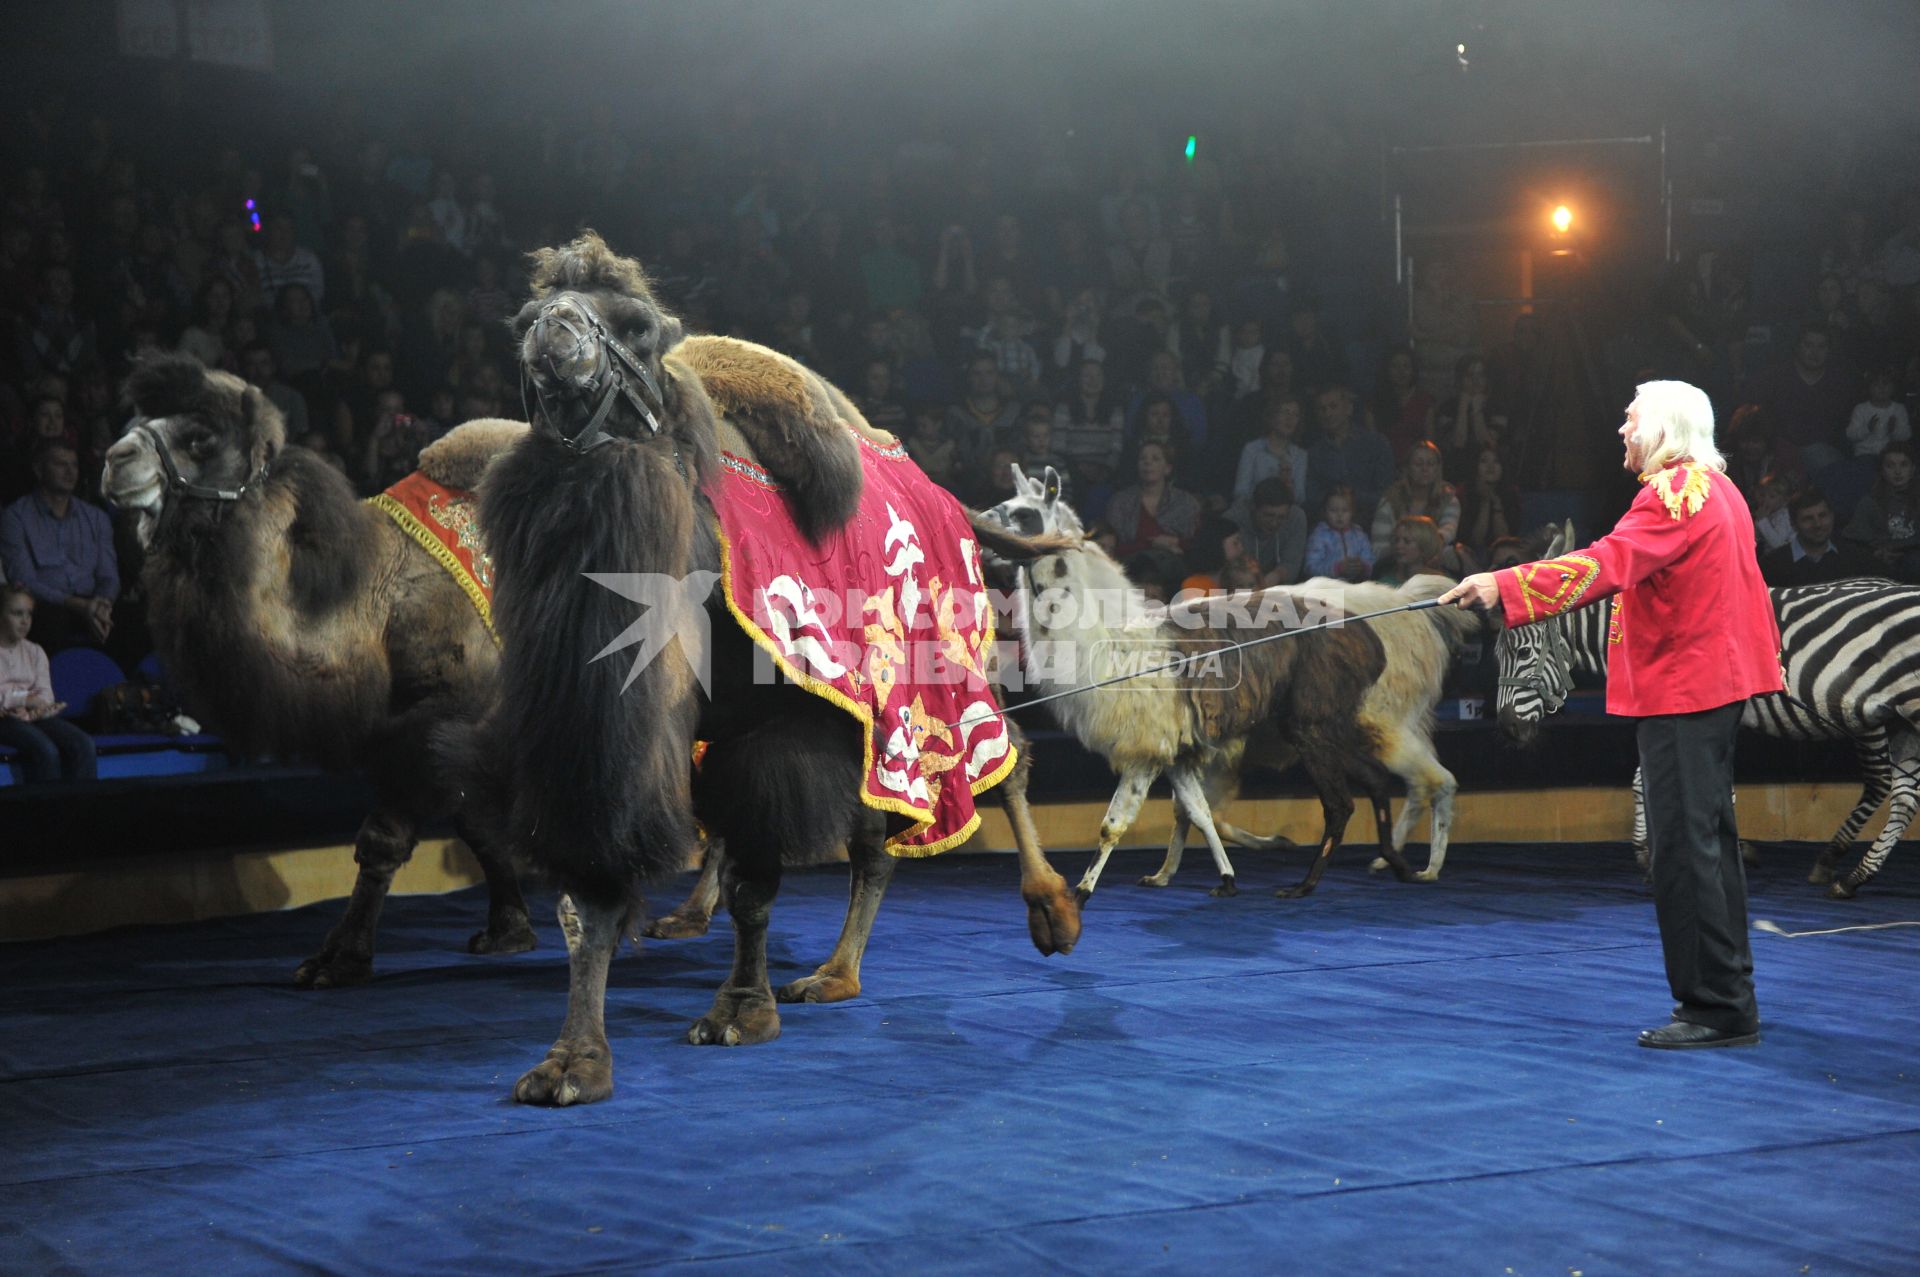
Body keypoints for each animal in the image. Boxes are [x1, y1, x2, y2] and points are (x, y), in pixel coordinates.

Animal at [105, 359, 533, 983]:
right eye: (133, 422)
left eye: (201, 437)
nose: (116, 459)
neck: (373, 603)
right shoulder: (433, 732)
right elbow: (477, 824)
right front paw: (509, 932)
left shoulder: (441, 713)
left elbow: (384, 839)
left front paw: (340, 959)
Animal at [1497, 526, 1920, 894]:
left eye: (1522, 652)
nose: (1508, 729)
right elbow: (1662, 782)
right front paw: (1669, 853)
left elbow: (1670, 783)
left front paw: (1671, 856)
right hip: (1896, 719)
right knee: (1903, 793)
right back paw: (1851, 875)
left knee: (1885, 783)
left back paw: (1839, 863)